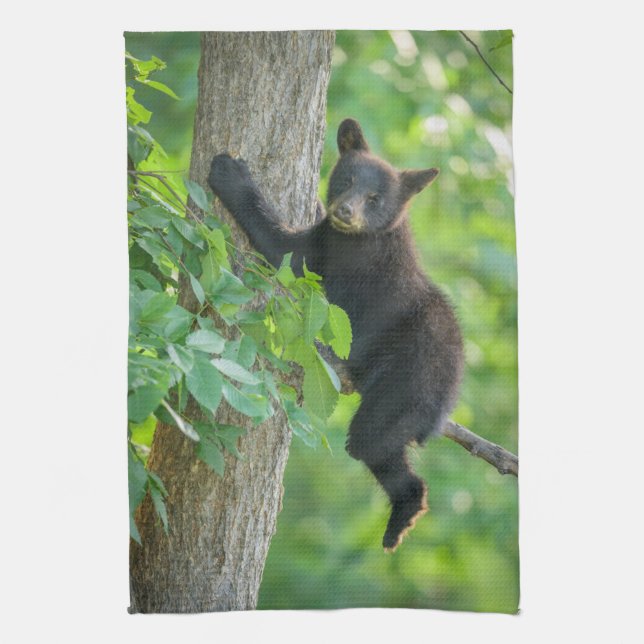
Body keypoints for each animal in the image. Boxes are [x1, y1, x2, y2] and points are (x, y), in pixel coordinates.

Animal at [208, 118, 464, 551]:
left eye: (375, 198)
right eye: (346, 180)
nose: (345, 210)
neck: (362, 235)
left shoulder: (344, 253)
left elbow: (286, 251)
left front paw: (230, 173)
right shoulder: (330, 235)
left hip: (405, 384)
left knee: (369, 439)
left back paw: (404, 512)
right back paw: (401, 518)